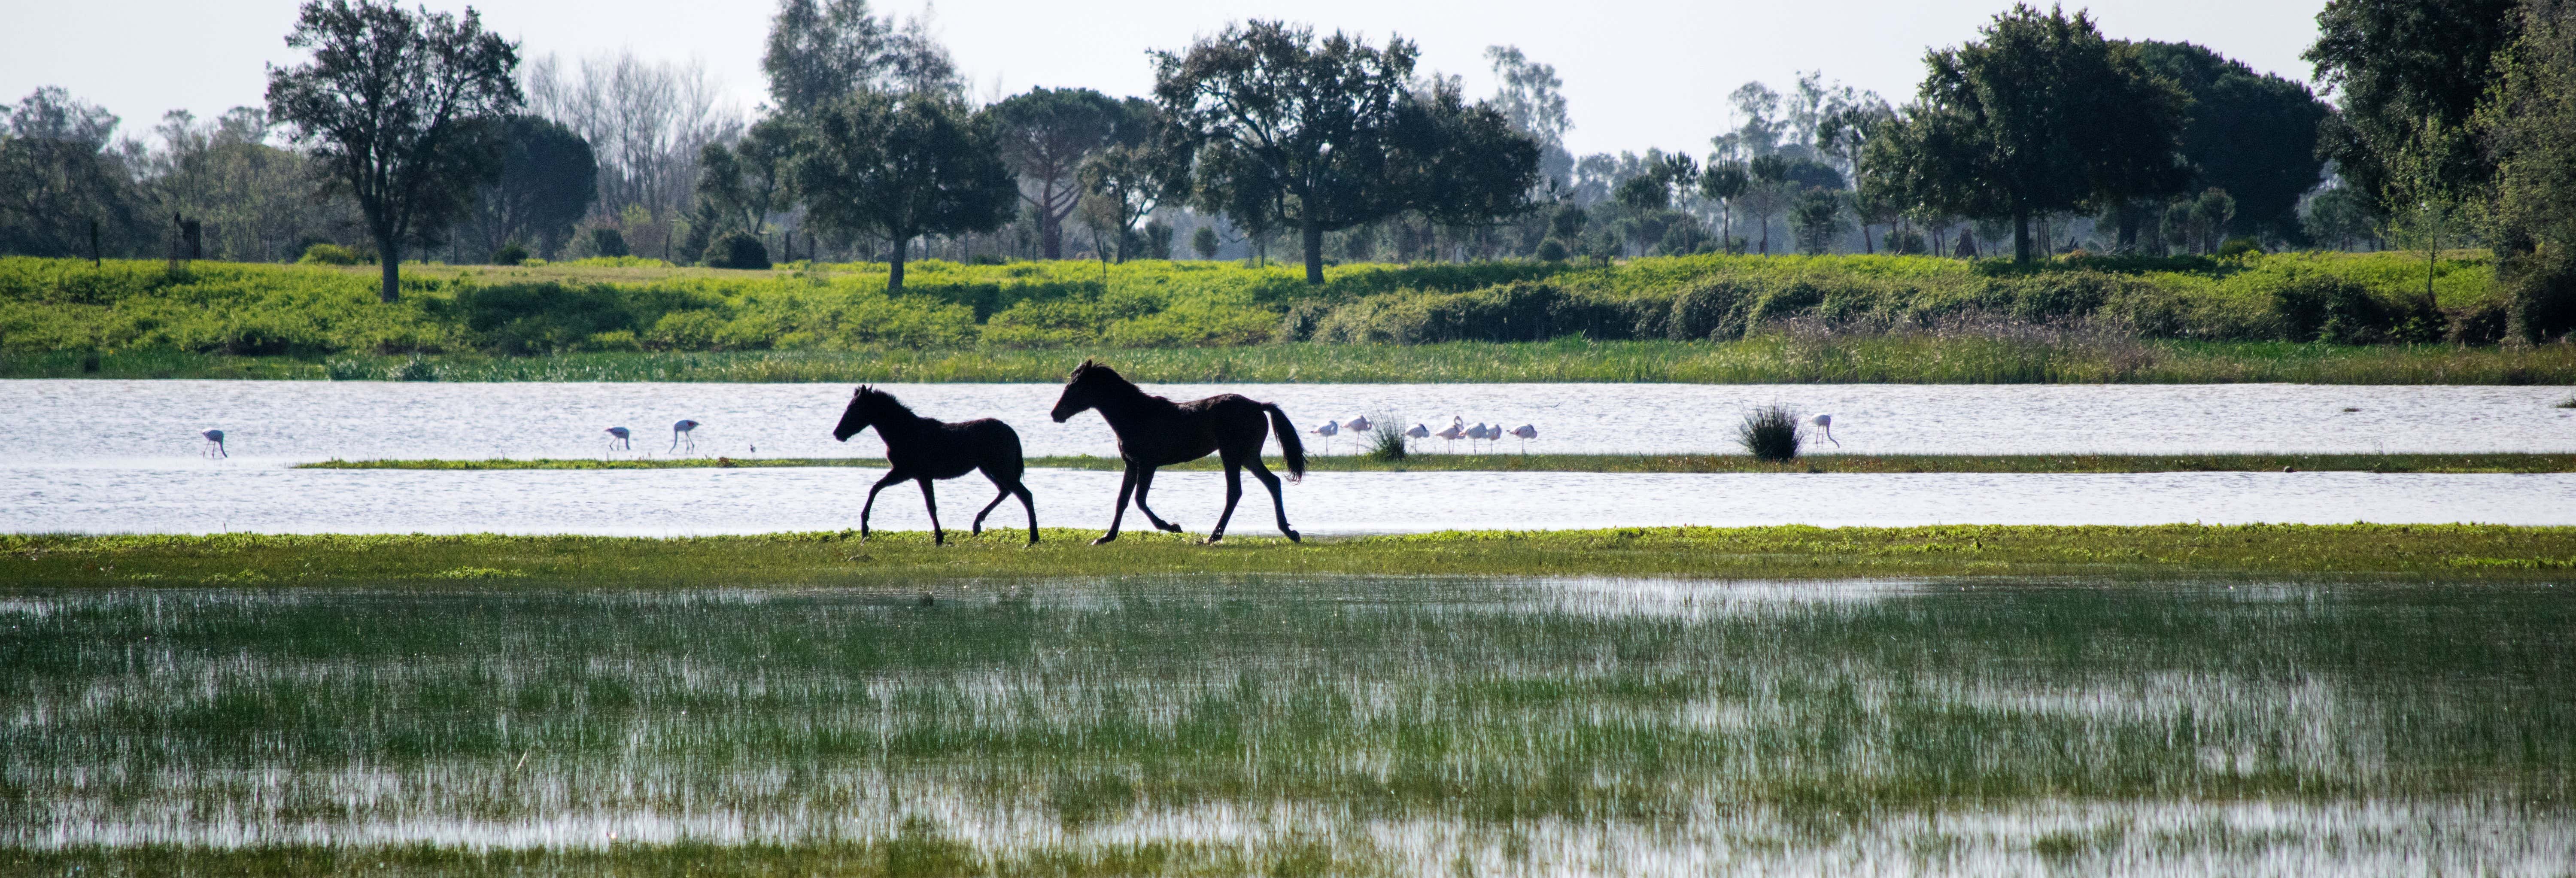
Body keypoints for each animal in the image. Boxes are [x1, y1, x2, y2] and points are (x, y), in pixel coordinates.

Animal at [835, 386, 1036, 543]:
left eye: (853, 409)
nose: (837, 434)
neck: (904, 433)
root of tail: (1012, 433)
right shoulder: (906, 473)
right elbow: (876, 488)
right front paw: (864, 529)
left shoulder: (914, 474)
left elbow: (930, 506)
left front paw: (939, 538)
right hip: (987, 468)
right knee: (1005, 491)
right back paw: (977, 525)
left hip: (999, 468)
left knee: (1025, 495)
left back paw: (1033, 538)